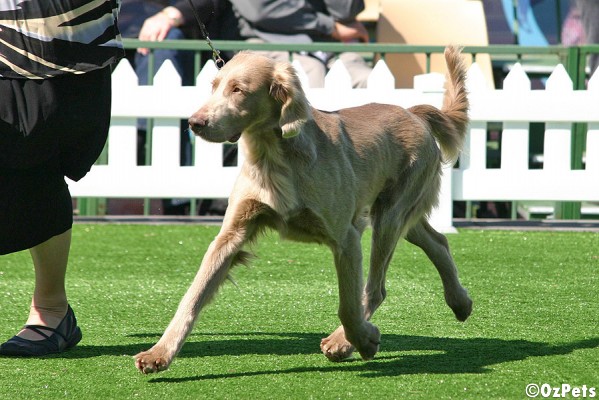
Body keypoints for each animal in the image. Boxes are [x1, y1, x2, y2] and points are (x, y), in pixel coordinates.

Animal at [135, 45, 474, 374]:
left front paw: (362, 340)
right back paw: (460, 302)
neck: (274, 156)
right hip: (396, 214)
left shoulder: (346, 238)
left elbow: (347, 305)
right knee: (438, 241)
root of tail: (414, 114)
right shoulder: (231, 235)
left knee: (376, 287)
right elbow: (192, 295)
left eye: (238, 90)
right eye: (214, 86)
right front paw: (159, 353)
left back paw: (346, 340)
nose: (195, 123)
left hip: (391, 215)